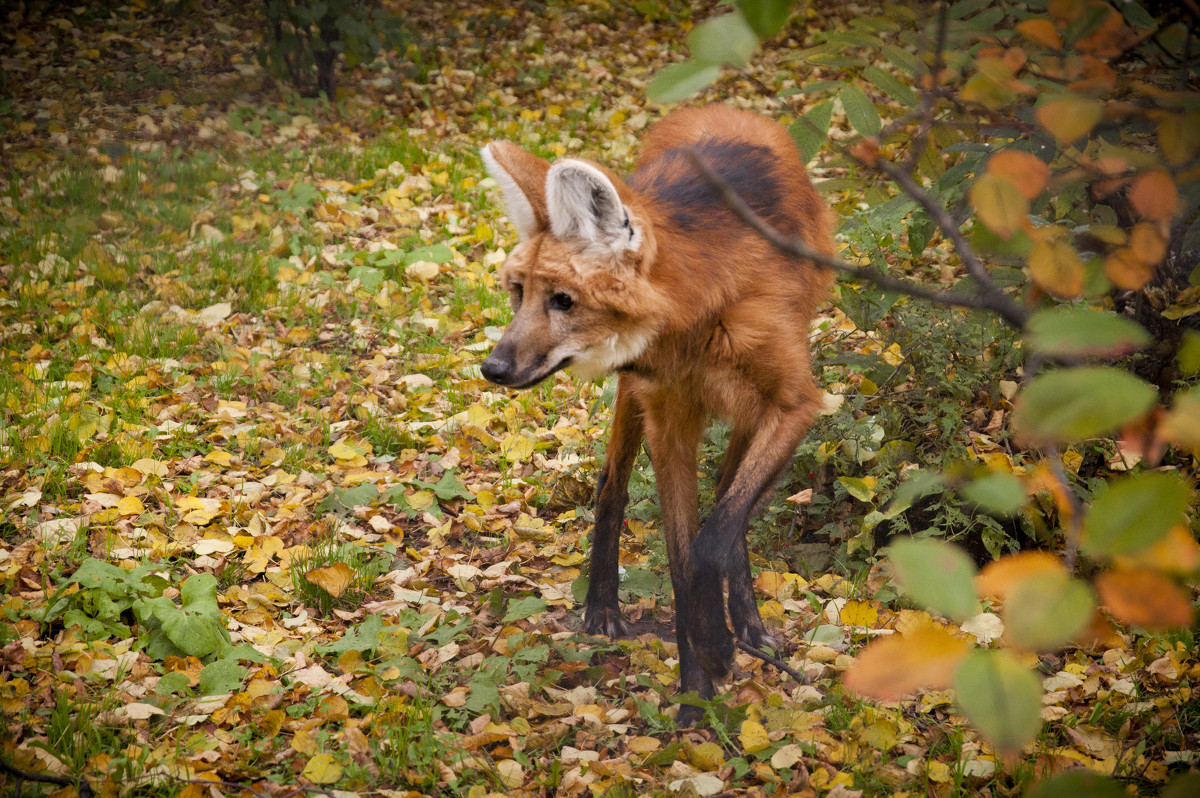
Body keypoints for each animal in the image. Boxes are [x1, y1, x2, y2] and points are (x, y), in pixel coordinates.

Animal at [477, 102, 835, 724]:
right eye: (517, 293)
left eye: (563, 301)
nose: (493, 368)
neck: (697, 319)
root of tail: (716, 107)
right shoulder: (668, 421)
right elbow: (681, 555)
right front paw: (698, 687)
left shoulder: (793, 404)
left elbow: (714, 535)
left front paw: (719, 645)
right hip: (634, 396)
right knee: (612, 483)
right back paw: (602, 608)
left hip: (748, 412)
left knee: (729, 499)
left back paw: (748, 624)